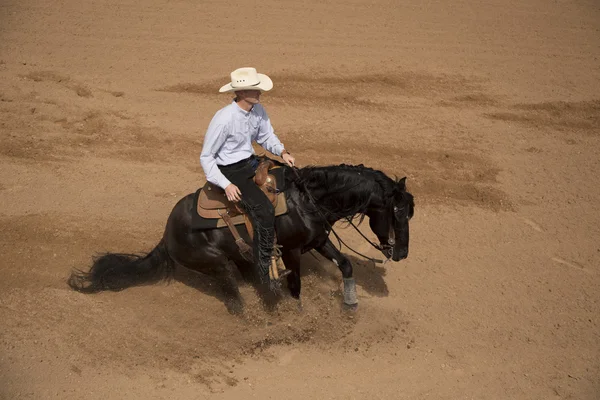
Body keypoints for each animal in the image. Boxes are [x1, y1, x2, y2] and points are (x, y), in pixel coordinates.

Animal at [65, 162, 412, 312]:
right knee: (234, 298)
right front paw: (297, 316)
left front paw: (350, 303)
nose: (402, 253)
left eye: (410, 212)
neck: (307, 199)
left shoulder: (318, 241)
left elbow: (346, 265)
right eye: (396, 211)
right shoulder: (291, 252)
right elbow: (296, 288)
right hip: (216, 265)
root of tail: (167, 235)